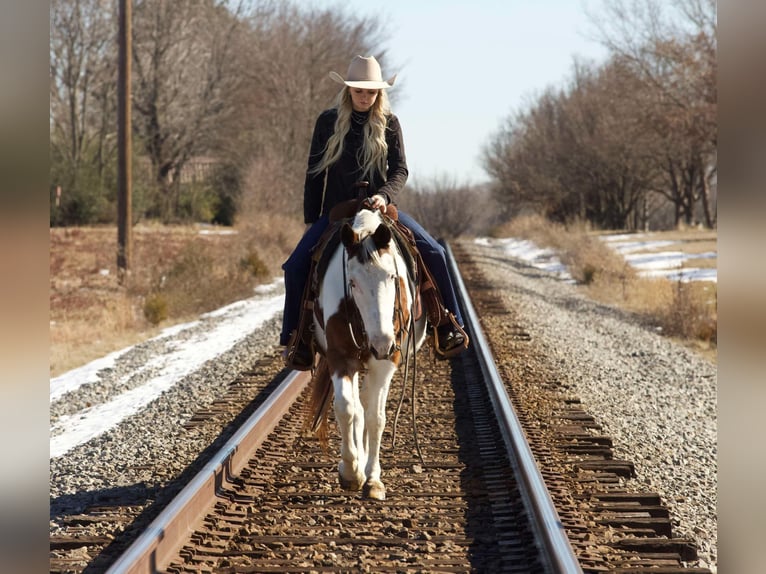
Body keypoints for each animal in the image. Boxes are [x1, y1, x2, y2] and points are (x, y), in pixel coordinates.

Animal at [307, 207, 428, 500]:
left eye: (392, 277)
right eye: (352, 282)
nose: (381, 343)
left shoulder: (387, 362)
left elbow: (376, 417)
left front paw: (373, 479)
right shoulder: (340, 357)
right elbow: (347, 409)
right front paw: (351, 471)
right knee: (357, 405)